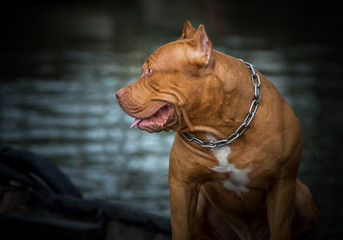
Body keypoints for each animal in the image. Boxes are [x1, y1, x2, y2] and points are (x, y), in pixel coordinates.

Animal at [117, 20, 318, 240]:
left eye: (150, 71)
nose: (118, 94)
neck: (220, 131)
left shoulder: (282, 184)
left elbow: (281, 228)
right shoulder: (182, 186)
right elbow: (181, 228)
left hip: (303, 197)